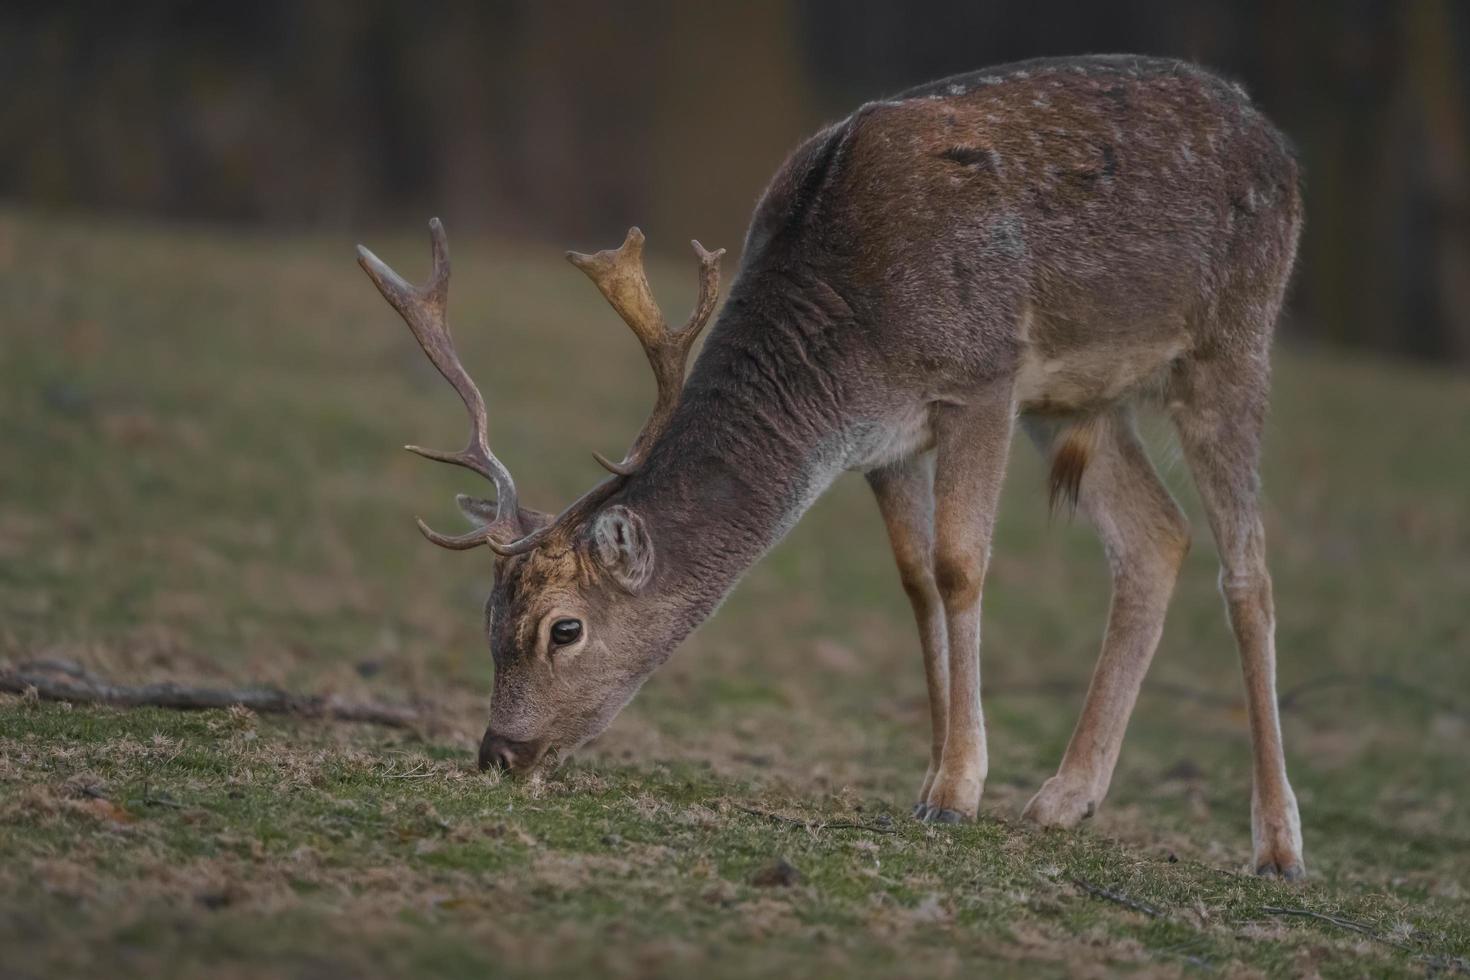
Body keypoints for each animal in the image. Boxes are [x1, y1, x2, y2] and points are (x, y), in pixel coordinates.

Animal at [361, 55, 1305, 881]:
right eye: (488, 618)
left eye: (565, 629)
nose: (498, 752)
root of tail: (1280, 144)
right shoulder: (884, 442)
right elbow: (917, 581)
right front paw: (932, 774)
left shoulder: (984, 378)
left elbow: (961, 568)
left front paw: (957, 790)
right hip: (1080, 400)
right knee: (1158, 538)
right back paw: (1066, 798)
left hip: (1233, 338)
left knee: (1250, 572)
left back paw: (1277, 847)